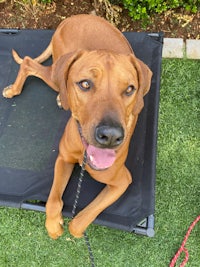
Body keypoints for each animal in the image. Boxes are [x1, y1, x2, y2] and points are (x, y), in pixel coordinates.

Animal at [2, 14, 152, 239]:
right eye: (85, 84)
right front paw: (54, 225)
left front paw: (73, 229)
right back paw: (15, 90)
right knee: (28, 62)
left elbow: (81, 219)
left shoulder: (121, 181)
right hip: (56, 73)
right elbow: (53, 201)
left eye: (129, 89)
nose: (110, 136)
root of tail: (71, 18)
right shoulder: (63, 158)